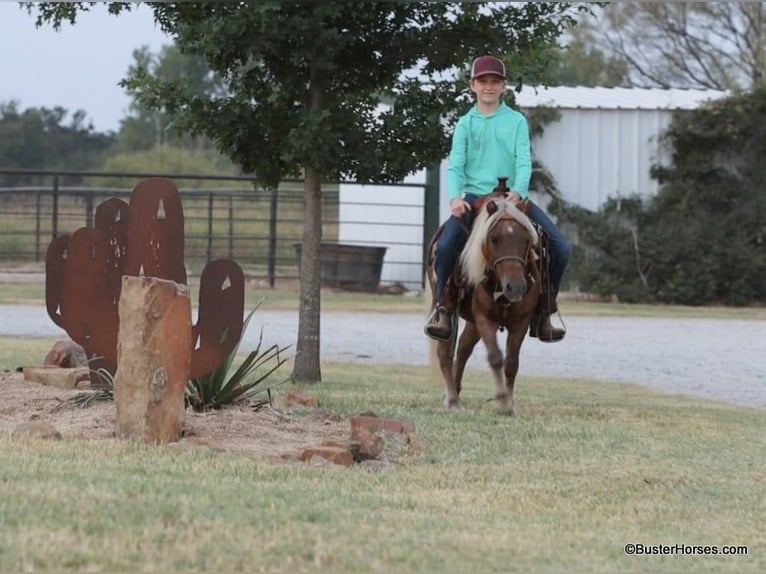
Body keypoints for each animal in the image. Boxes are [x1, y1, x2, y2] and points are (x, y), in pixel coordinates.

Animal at [424, 196, 544, 416]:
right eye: (494, 239)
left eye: (526, 240)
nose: (515, 287)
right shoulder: (484, 318)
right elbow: (495, 357)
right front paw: (503, 400)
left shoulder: (521, 321)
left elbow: (511, 363)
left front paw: (509, 405)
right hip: (452, 316)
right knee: (444, 354)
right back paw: (453, 399)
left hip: (473, 323)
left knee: (463, 349)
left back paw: (455, 392)